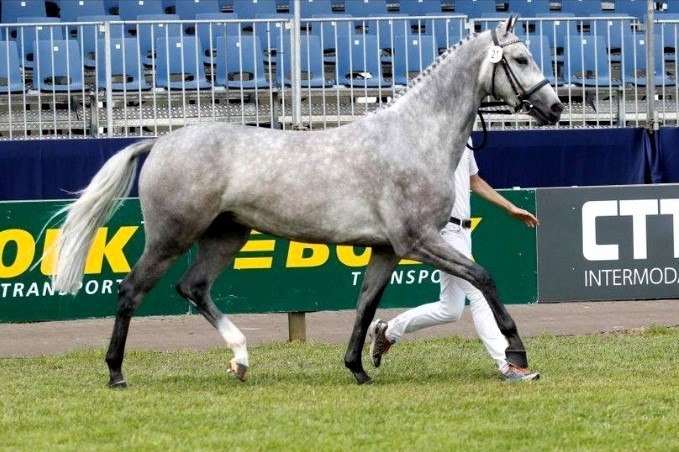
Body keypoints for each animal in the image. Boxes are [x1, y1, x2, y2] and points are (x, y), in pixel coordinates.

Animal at [52, 17, 563, 387]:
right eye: (521, 58)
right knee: (130, 291)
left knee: (193, 288)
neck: (413, 137)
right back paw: (116, 372)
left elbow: (366, 306)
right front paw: (517, 351)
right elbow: (485, 277)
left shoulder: (387, 249)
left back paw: (240, 359)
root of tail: (161, 141)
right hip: (171, 237)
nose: (555, 107)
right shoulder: (417, 240)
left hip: (226, 235)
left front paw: (358, 368)